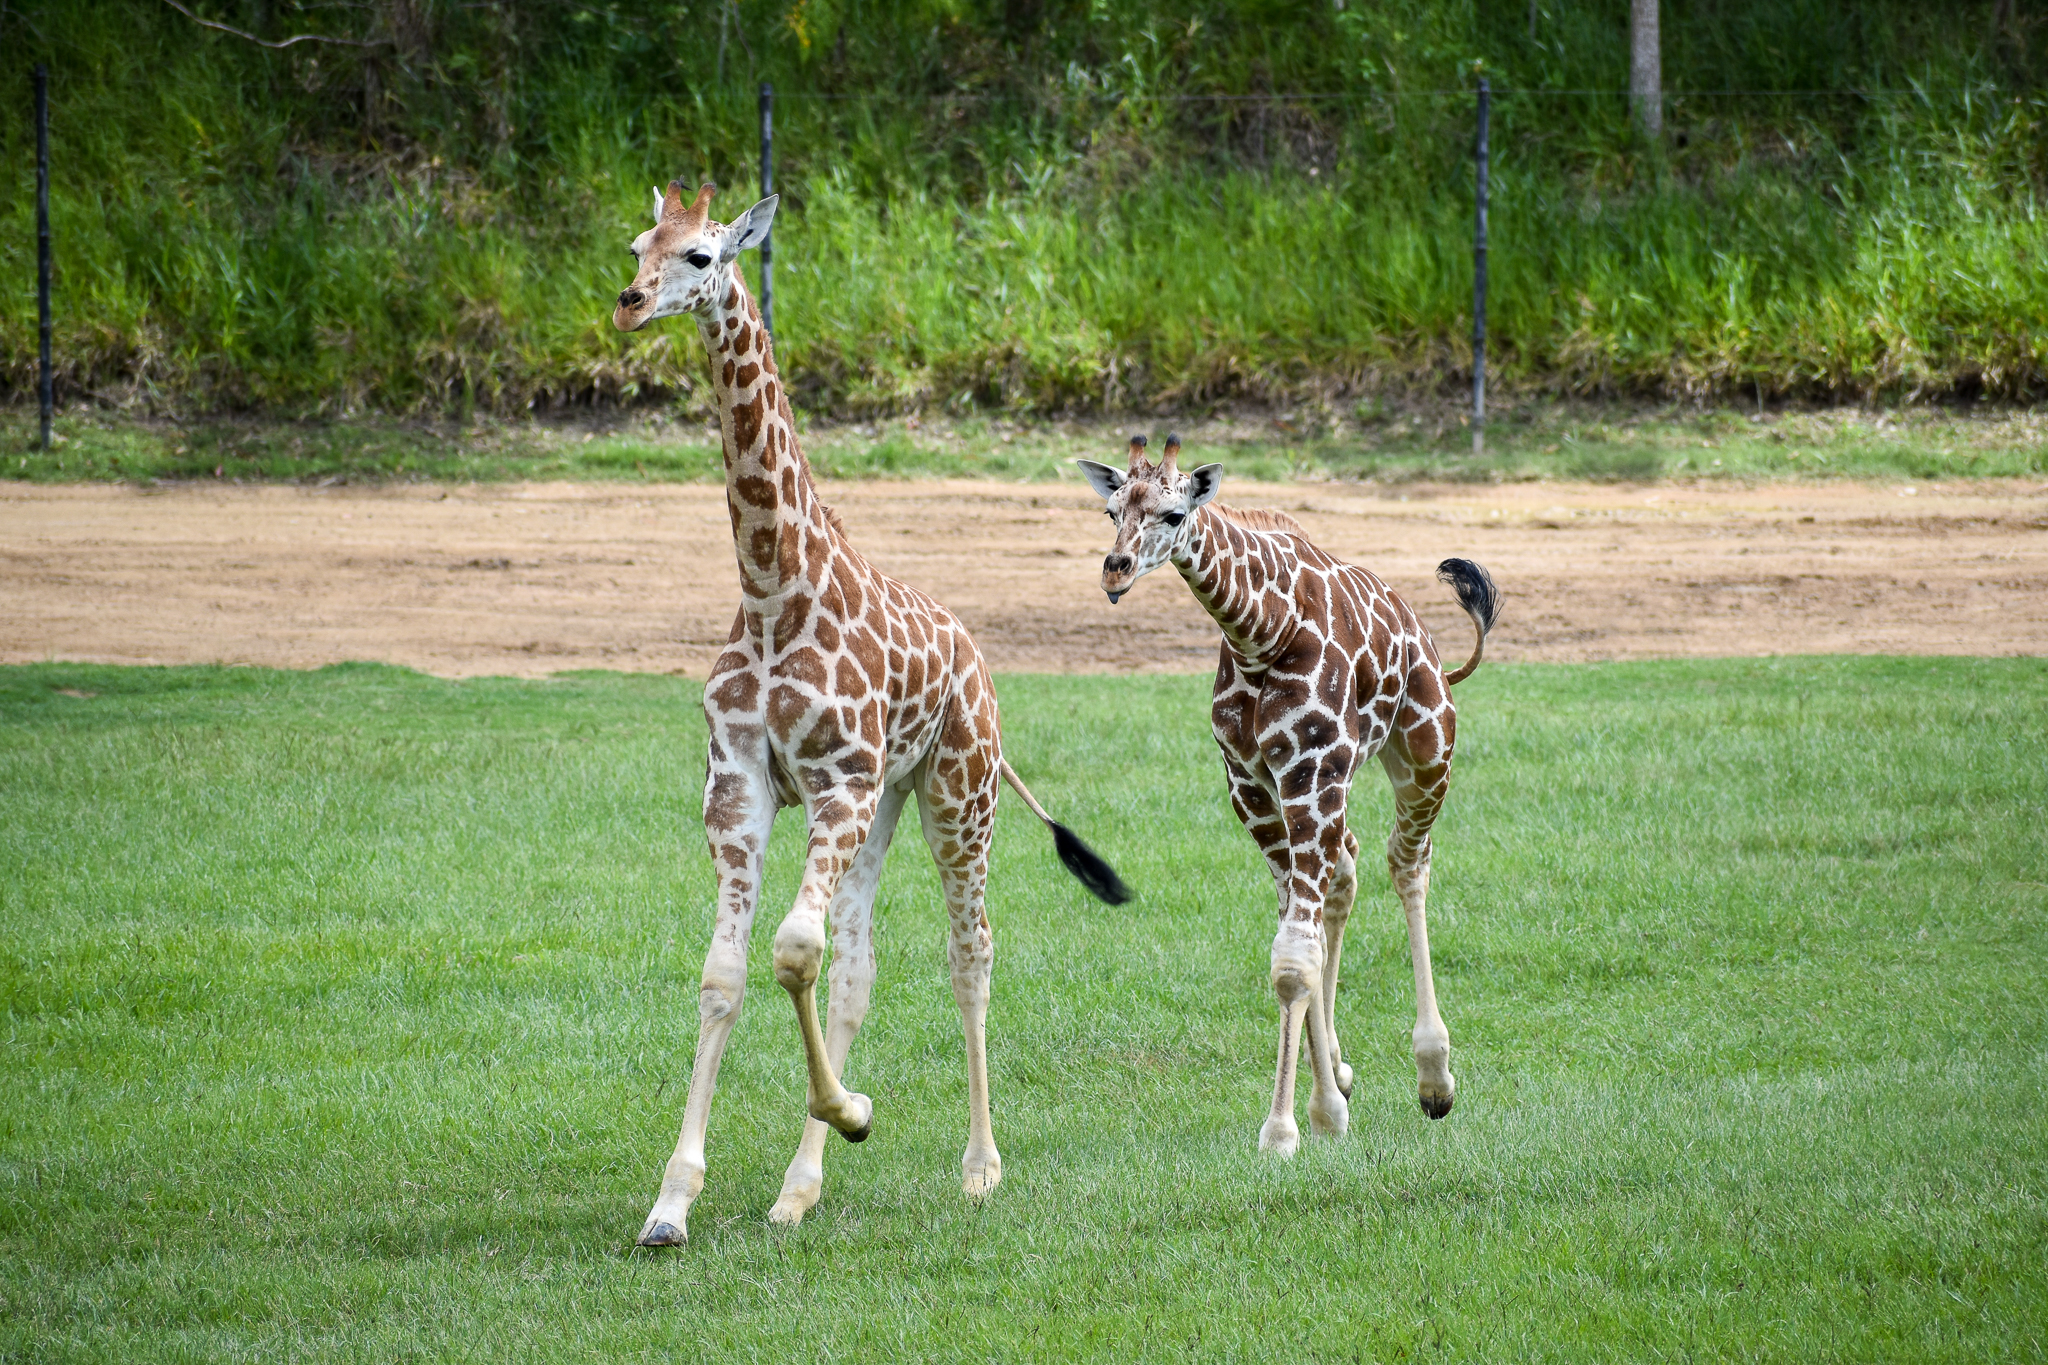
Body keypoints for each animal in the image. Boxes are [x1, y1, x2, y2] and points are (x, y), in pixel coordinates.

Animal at [612, 182, 1127, 1245]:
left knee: (969, 953)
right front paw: (672, 1201)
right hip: (888, 801)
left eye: (701, 256)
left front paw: (854, 1110)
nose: (630, 304)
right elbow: (732, 973)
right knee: (858, 964)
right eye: (638, 245)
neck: (774, 589)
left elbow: (791, 950)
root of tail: (977, 660)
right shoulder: (741, 791)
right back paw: (798, 1187)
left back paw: (978, 1166)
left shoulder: (837, 784)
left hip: (957, 793)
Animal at [1076, 434, 1500, 1156]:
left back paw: (1434, 1077)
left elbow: (1294, 961)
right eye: (1111, 511)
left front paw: (1284, 1128)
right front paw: (1324, 1104)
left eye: (1173, 513)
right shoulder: (1251, 786)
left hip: (1425, 751)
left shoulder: (1311, 772)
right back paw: (1343, 1074)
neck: (1260, 632)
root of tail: (1428, 643)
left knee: (1406, 862)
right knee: (1348, 871)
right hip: (1338, 791)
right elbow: (1293, 950)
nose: (1115, 571)